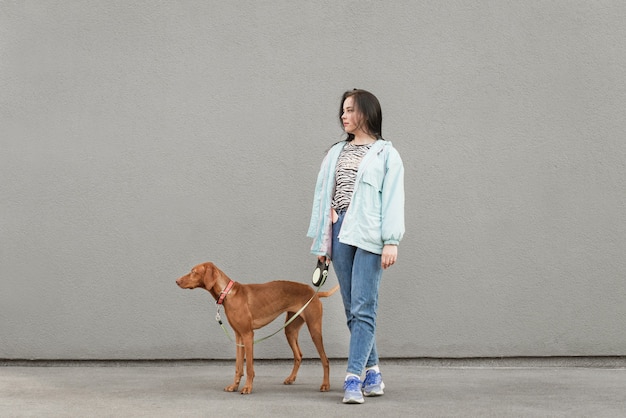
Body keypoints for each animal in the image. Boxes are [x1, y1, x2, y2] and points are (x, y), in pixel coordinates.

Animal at [177, 262, 336, 394]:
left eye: (193, 271)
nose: (176, 281)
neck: (228, 293)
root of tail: (314, 293)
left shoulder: (248, 335)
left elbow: (249, 367)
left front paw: (247, 387)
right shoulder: (239, 336)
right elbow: (238, 366)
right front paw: (234, 386)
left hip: (314, 330)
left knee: (325, 360)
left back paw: (325, 385)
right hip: (290, 330)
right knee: (299, 355)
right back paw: (291, 378)